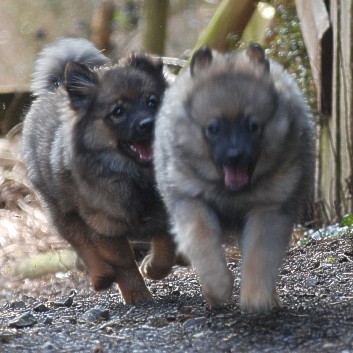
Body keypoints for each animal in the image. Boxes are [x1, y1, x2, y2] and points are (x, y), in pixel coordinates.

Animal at [22, 37, 176, 302]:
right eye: (118, 111)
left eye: (152, 102)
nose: (148, 124)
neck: (136, 177)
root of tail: (56, 86)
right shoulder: (104, 226)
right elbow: (123, 262)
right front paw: (137, 295)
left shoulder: (168, 212)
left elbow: (166, 248)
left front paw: (153, 268)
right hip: (61, 211)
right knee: (80, 244)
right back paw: (101, 275)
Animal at [154, 44, 314, 310]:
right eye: (213, 128)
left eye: (252, 126)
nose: (234, 156)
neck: (230, 192)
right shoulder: (190, 200)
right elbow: (202, 243)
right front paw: (218, 288)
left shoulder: (269, 208)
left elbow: (260, 254)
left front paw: (256, 297)